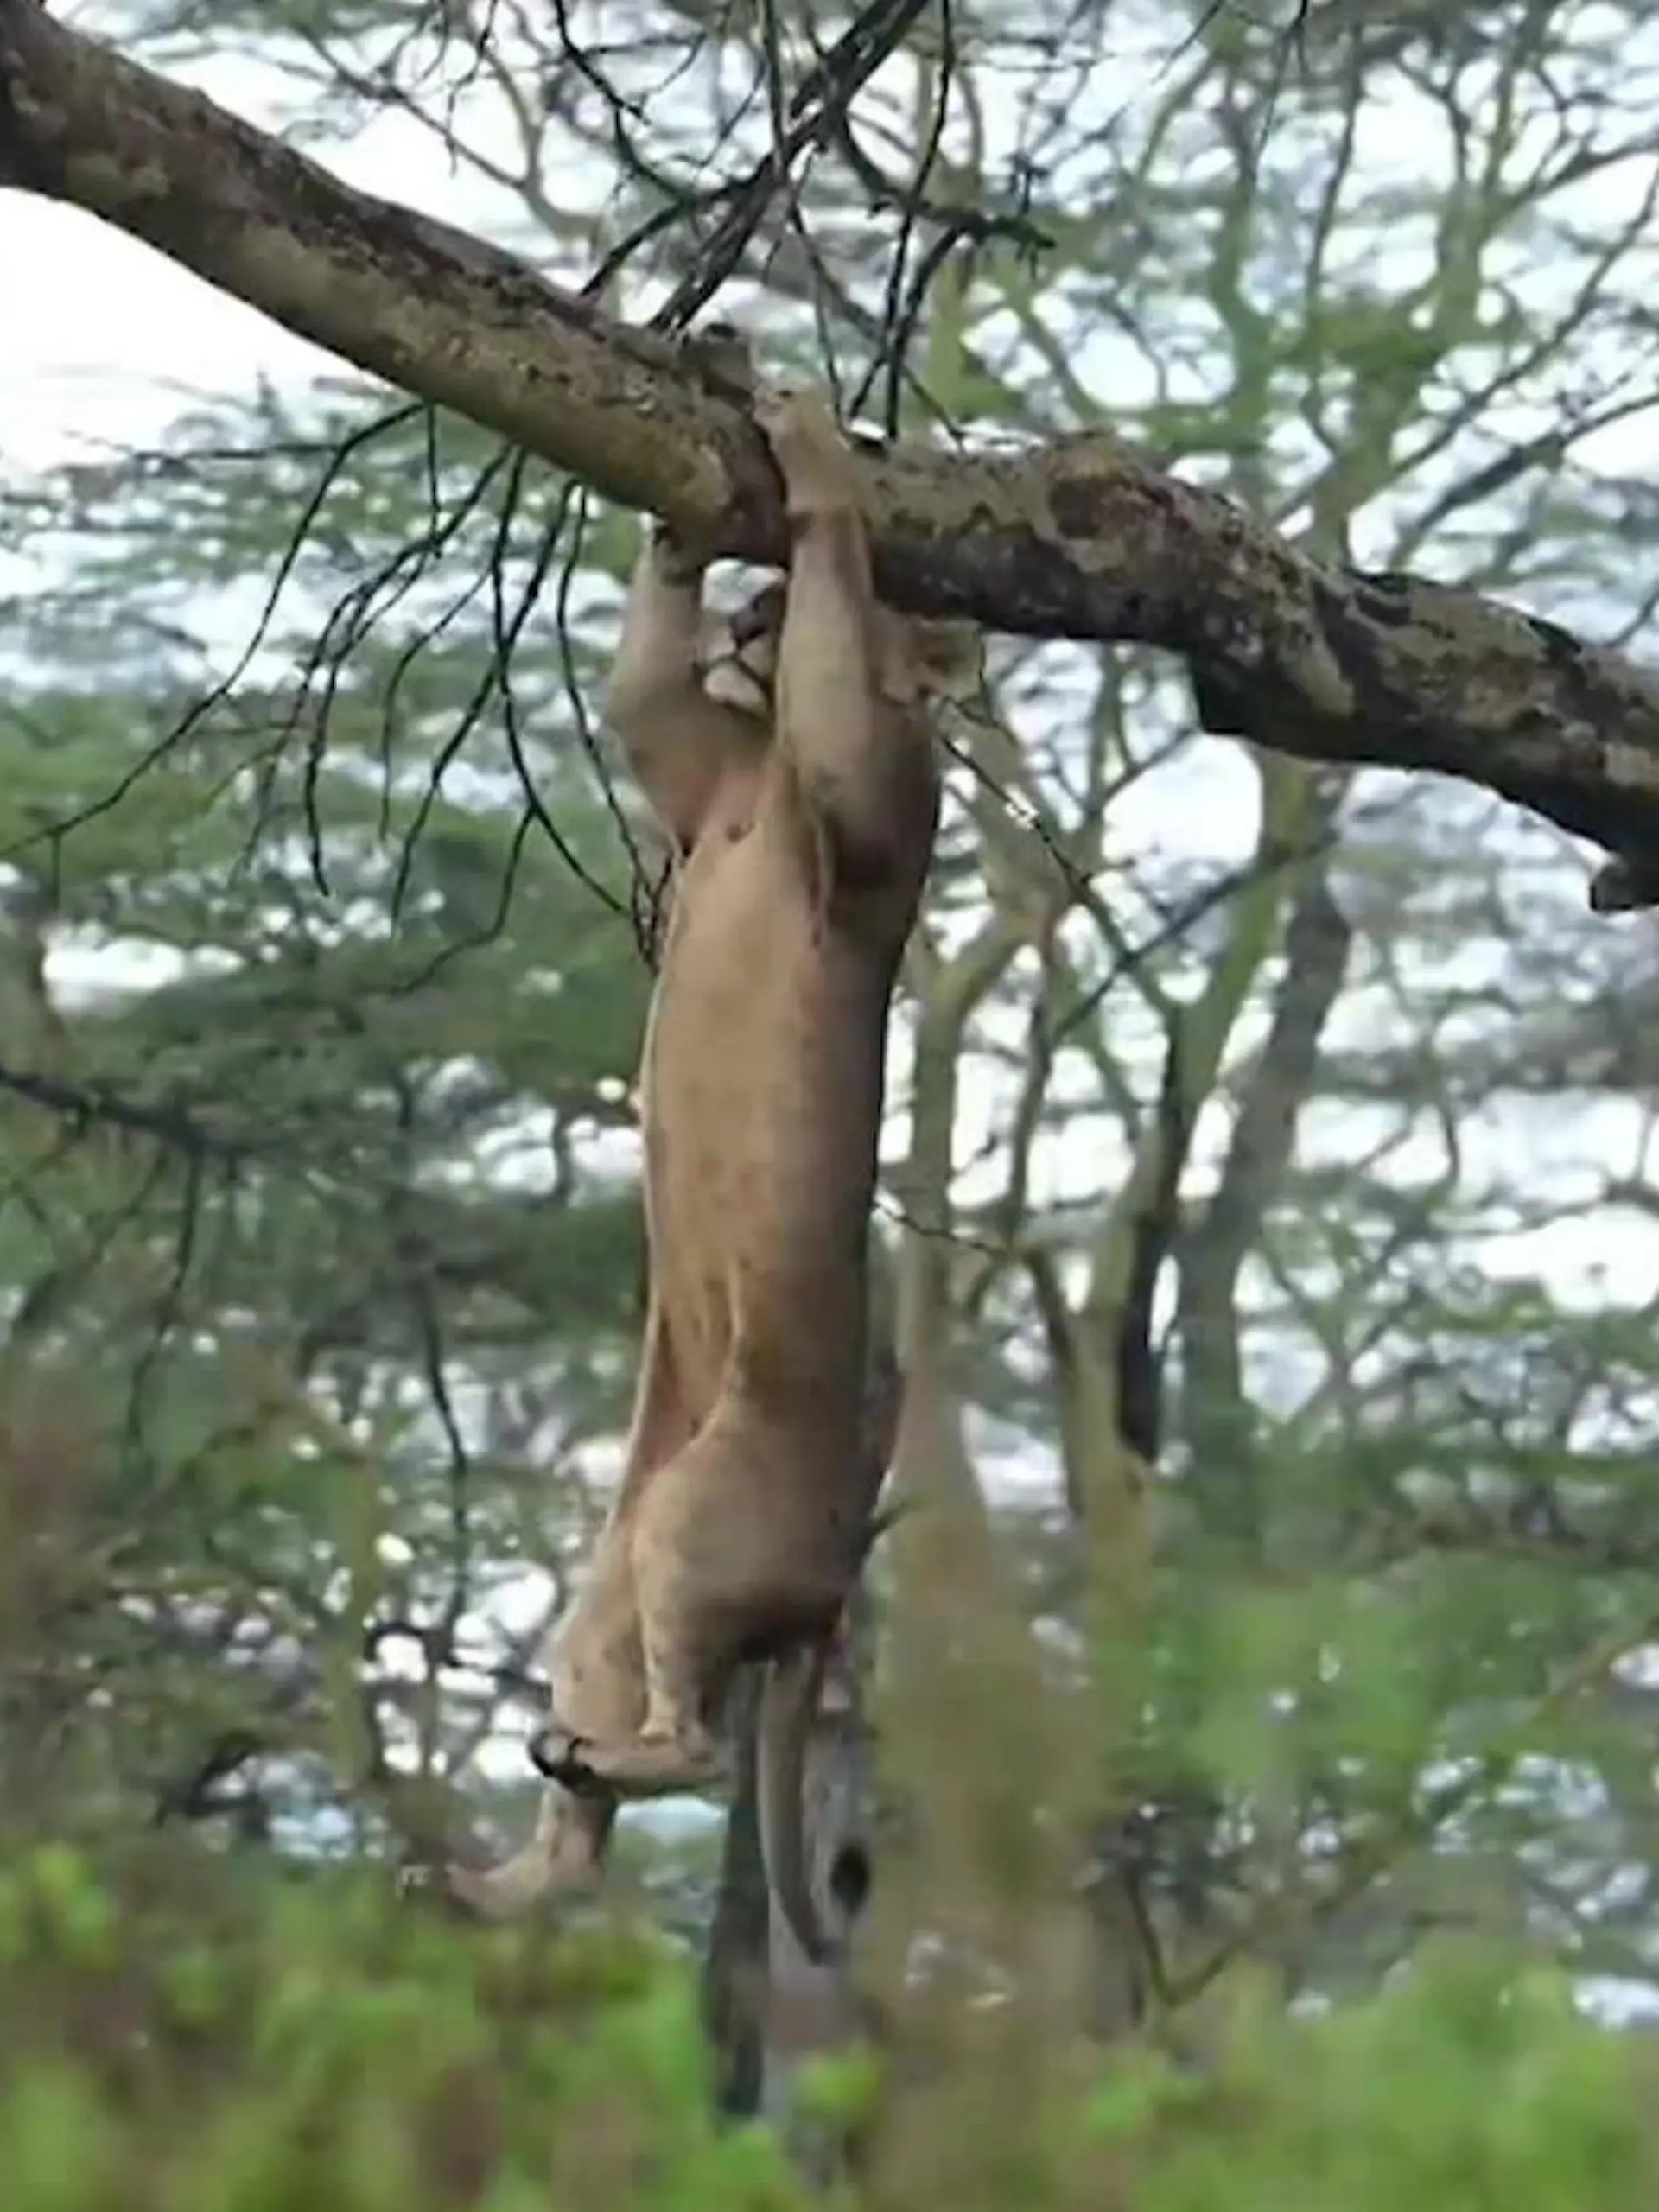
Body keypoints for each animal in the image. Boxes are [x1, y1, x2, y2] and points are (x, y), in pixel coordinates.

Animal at [437, 381, 977, 1961]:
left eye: (777, 599)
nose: (744, 619)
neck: (758, 757)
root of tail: (833, 1593)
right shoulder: (685, 759)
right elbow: (640, 679)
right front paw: (709, 428)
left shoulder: (871, 798)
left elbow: (847, 606)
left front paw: (810, 442)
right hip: (613, 1577)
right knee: (587, 1831)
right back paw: (484, 1864)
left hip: (702, 1513)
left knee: (692, 1752)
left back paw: (585, 1777)